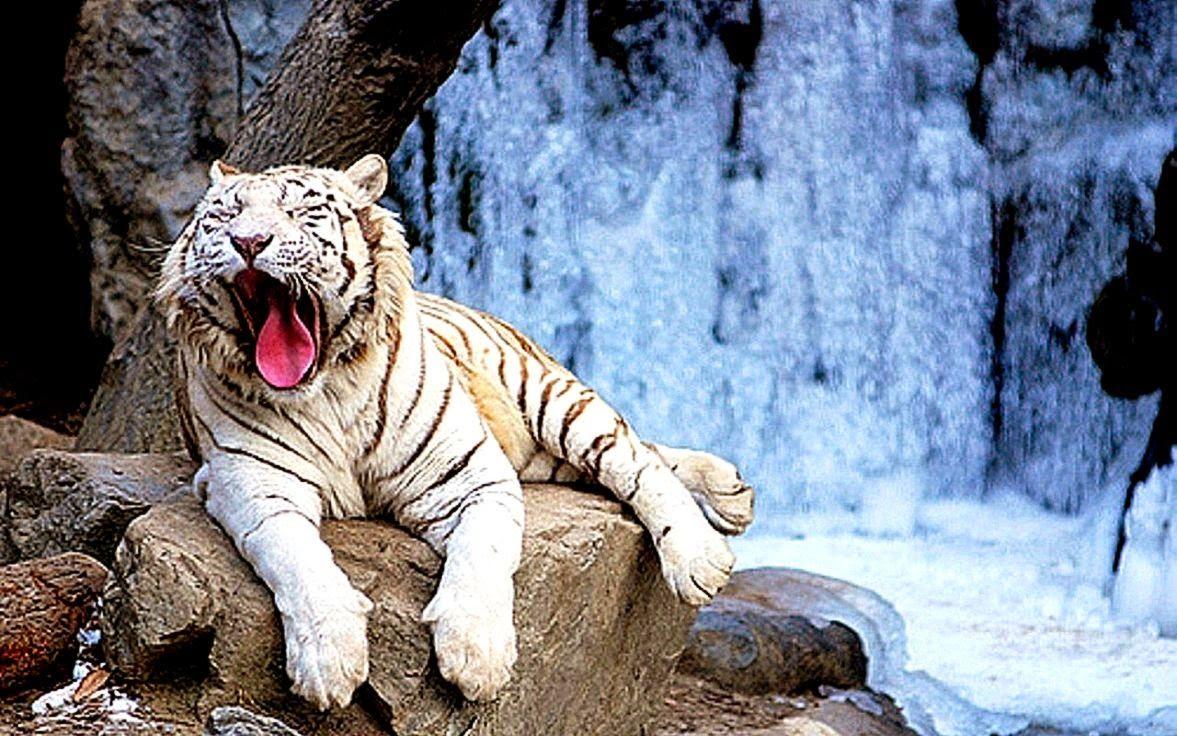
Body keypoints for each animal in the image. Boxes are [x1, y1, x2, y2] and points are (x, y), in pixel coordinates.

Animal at [156, 154, 754, 710]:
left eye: (299, 211)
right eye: (225, 216)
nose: (248, 241)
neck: (326, 389)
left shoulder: (469, 474)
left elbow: (483, 553)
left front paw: (477, 657)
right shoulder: (254, 486)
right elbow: (296, 559)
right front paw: (329, 661)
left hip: (548, 396)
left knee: (634, 457)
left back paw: (703, 551)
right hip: (541, 457)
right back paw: (731, 491)